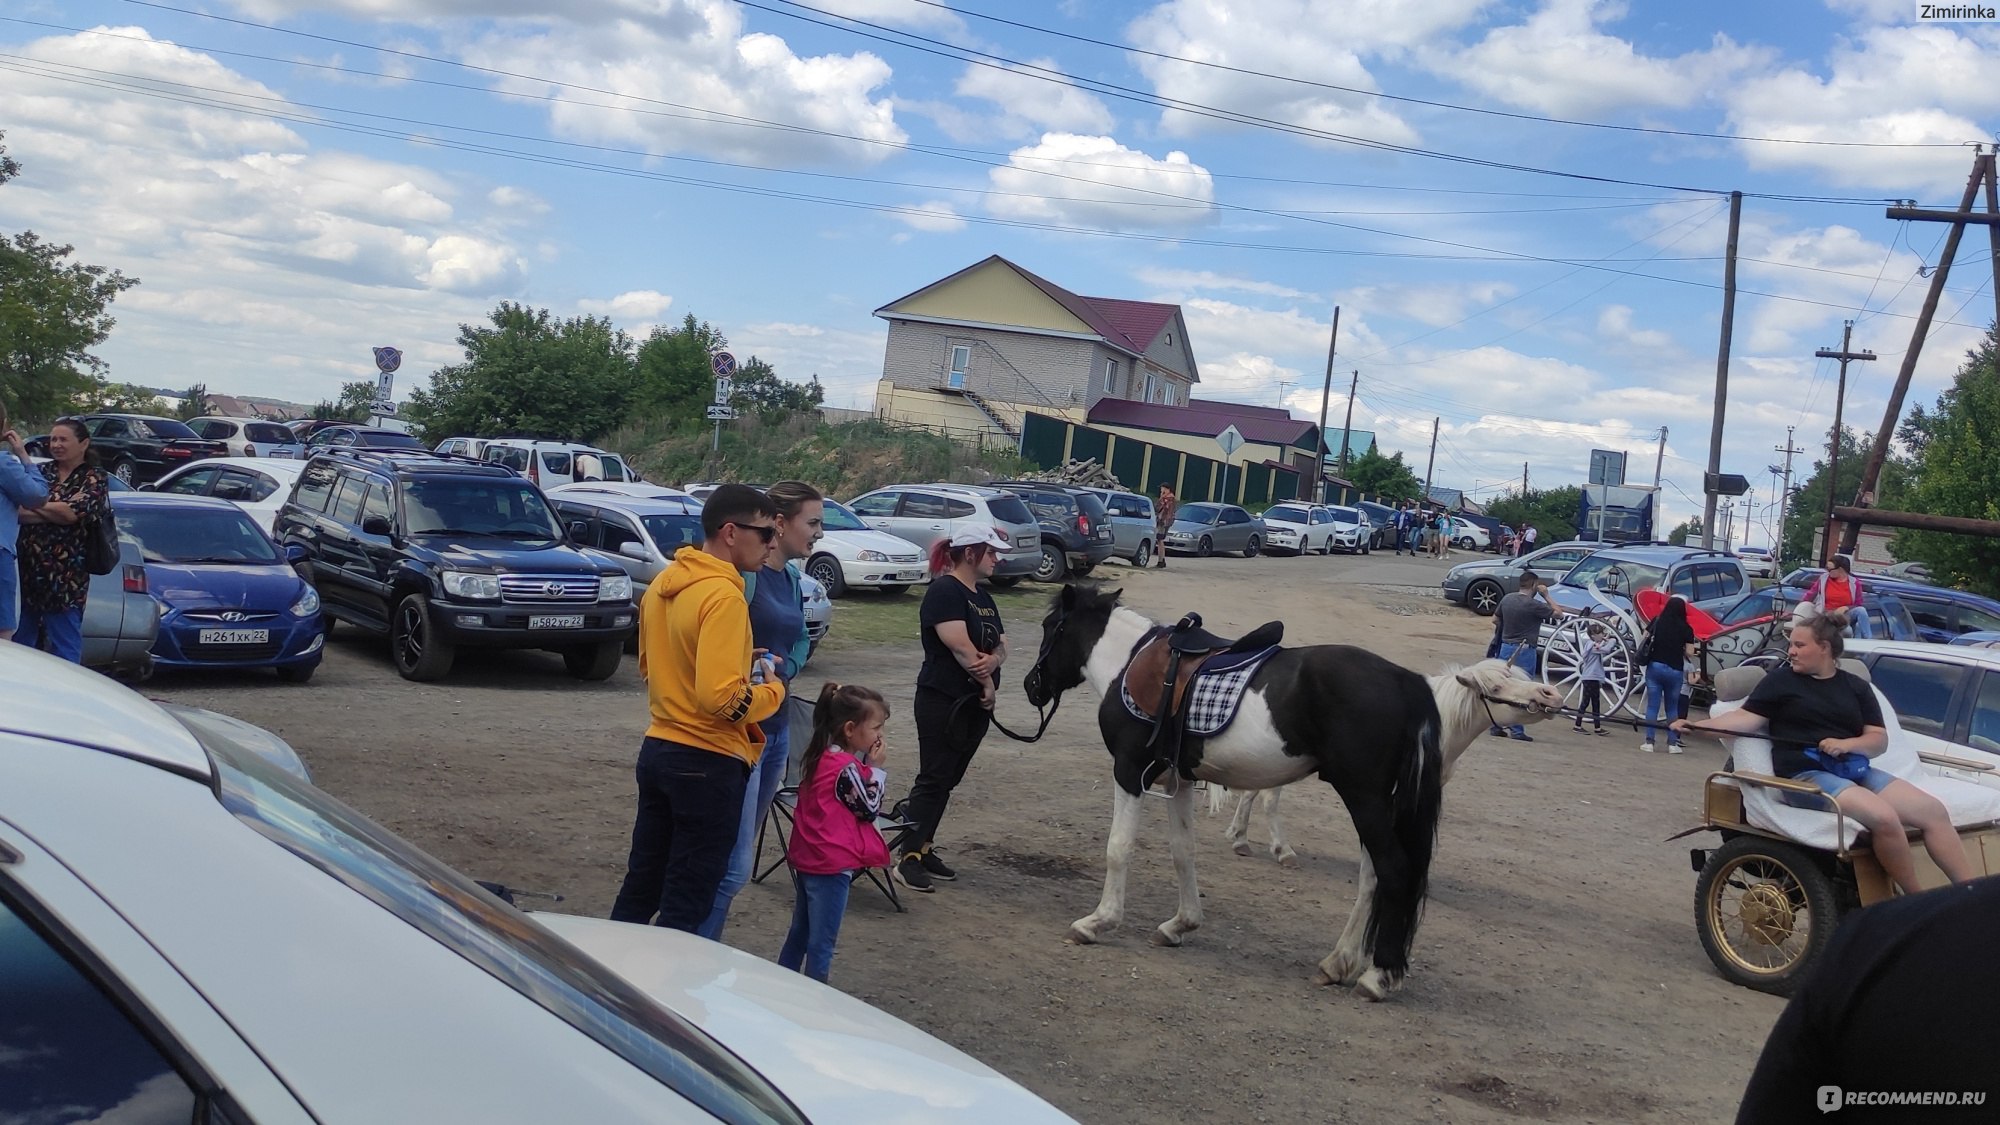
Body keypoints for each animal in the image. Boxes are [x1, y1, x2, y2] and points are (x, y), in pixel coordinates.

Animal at [1032, 580, 1560, 992]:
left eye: (1048, 628)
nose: (1031, 687)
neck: (1132, 665)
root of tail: (1408, 683)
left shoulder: (1128, 771)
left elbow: (1118, 847)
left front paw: (1097, 922)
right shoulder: (1179, 780)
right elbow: (1183, 852)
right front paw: (1180, 924)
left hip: (1365, 799)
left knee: (1392, 872)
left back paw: (1378, 976)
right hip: (1381, 805)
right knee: (1374, 877)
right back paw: (1340, 963)